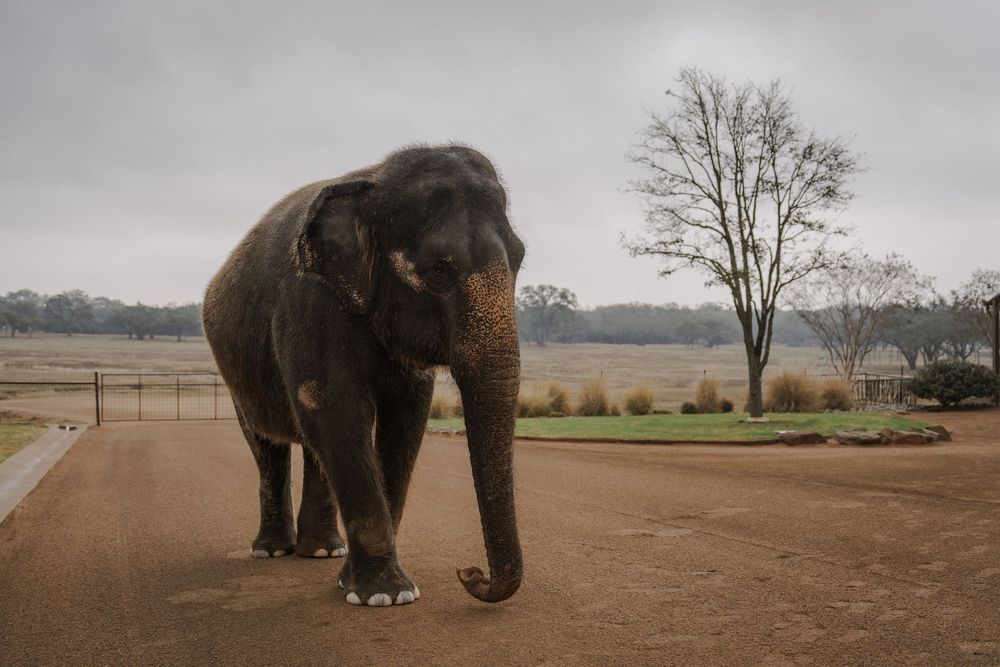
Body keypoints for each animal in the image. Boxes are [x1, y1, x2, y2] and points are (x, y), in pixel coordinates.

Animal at [202, 144, 525, 607]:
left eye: (520, 258)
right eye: (438, 270)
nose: (469, 572)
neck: (375, 180)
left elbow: (405, 422)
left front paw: (360, 585)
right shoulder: (307, 301)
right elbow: (336, 409)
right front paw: (385, 596)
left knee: (314, 451)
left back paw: (321, 551)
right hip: (234, 374)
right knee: (267, 447)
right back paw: (272, 551)